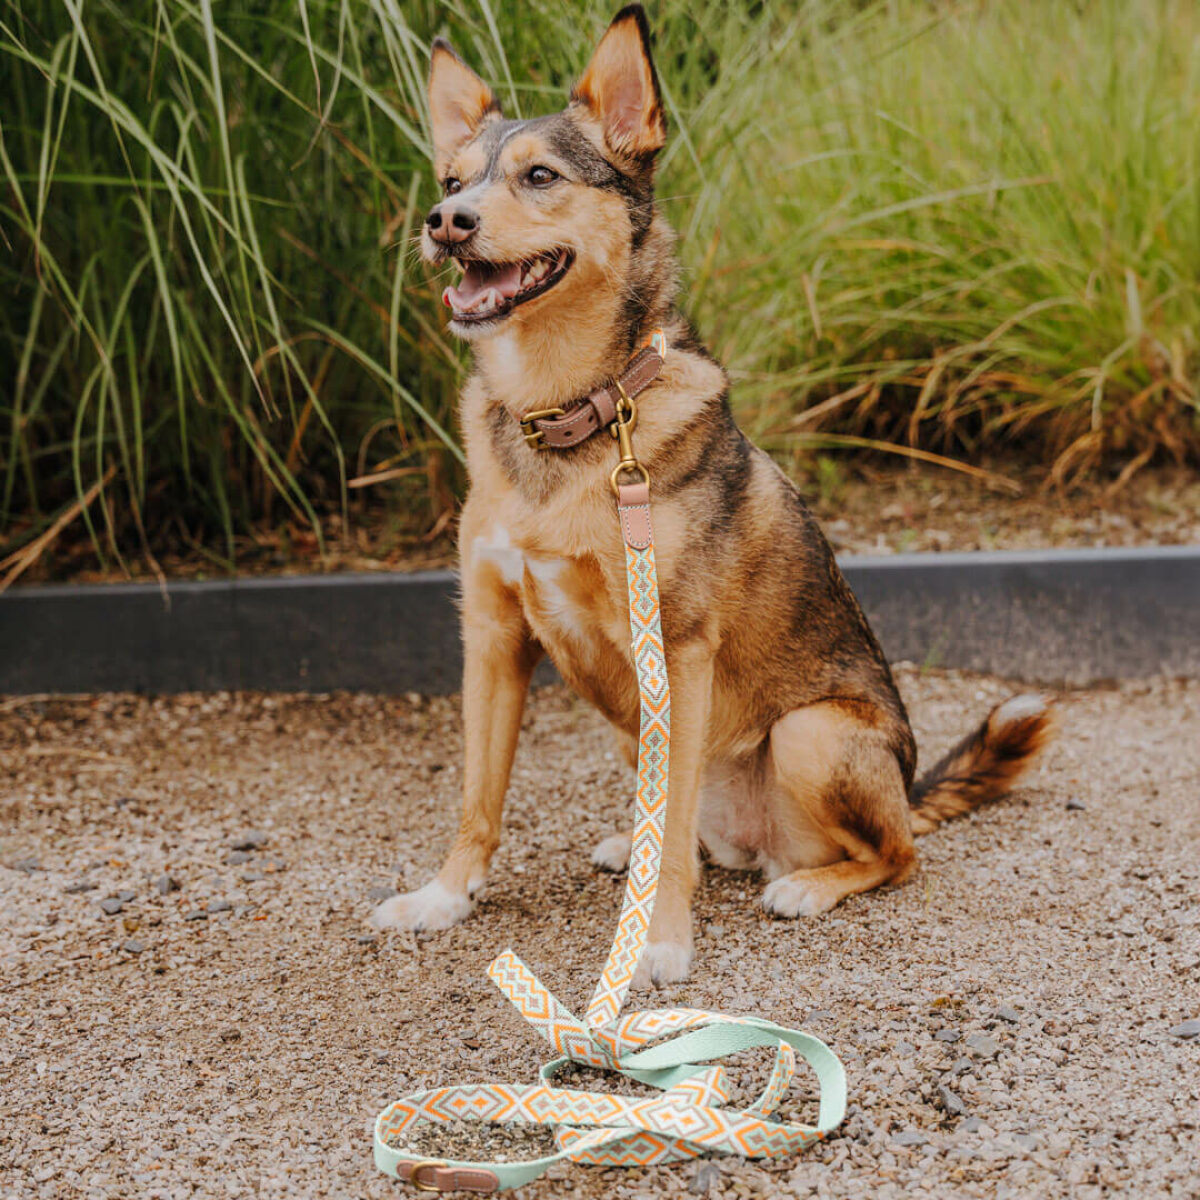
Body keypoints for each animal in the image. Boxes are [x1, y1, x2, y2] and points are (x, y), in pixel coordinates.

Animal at [372, 4, 1051, 984]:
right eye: (451, 181)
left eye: (539, 176)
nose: (444, 224)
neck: (567, 415)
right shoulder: (494, 638)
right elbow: (478, 797)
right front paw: (444, 897)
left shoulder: (677, 649)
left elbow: (667, 821)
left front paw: (655, 945)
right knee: (691, 827)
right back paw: (643, 844)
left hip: (808, 735)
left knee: (895, 855)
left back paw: (807, 885)